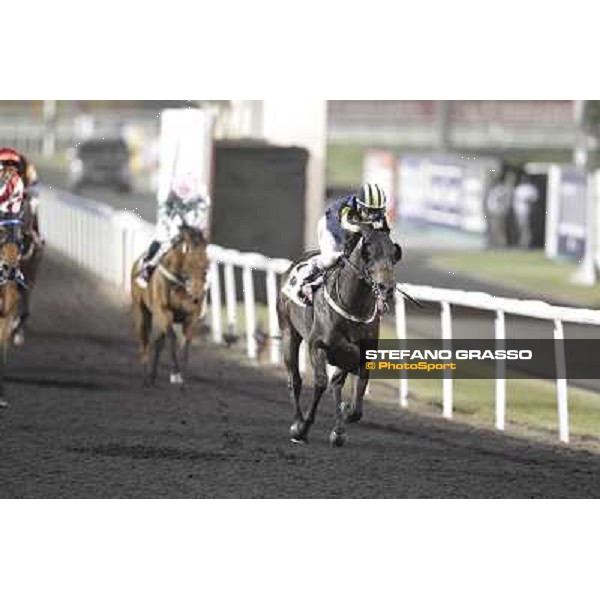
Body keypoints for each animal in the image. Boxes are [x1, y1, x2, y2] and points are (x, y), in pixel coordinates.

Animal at [129, 226, 209, 390]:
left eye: (206, 267)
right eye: (190, 264)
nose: (197, 295)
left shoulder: (191, 317)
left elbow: (186, 343)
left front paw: (183, 377)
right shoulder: (164, 312)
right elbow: (172, 338)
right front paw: (176, 372)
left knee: (158, 343)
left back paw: (153, 377)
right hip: (141, 312)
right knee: (144, 341)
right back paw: (146, 378)